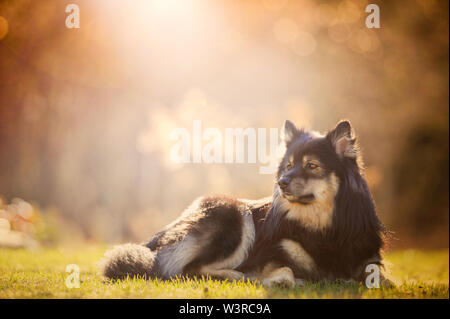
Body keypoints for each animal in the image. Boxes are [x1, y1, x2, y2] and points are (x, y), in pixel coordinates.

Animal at [100, 120, 388, 288]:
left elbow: (380, 278)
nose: (282, 182)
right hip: (231, 213)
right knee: (189, 270)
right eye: (288, 166)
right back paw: (238, 276)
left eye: (312, 166)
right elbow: (285, 268)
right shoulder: (271, 253)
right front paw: (280, 280)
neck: (324, 227)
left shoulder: (369, 260)